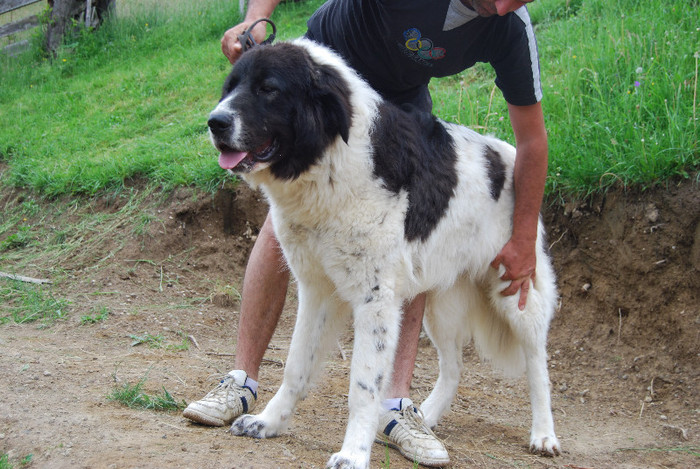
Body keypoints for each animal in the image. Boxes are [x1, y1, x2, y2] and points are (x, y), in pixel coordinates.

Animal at [206, 38, 556, 466]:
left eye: (268, 89)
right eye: (230, 88)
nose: (215, 122)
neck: (329, 163)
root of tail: (511, 154)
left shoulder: (375, 301)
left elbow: (363, 387)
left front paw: (354, 452)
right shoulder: (317, 292)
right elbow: (295, 366)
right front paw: (269, 422)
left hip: (515, 292)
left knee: (538, 365)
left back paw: (543, 434)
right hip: (440, 308)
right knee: (454, 367)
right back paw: (426, 419)